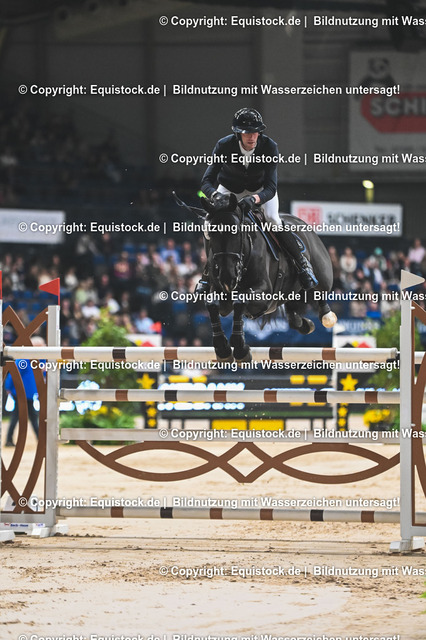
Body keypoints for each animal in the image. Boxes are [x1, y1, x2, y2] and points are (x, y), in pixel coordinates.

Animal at [175, 191, 337, 362]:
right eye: (210, 234)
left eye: (236, 232)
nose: (227, 279)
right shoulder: (222, 297)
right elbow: (213, 304)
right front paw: (223, 350)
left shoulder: (264, 294)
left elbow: (240, 301)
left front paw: (240, 349)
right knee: (293, 312)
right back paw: (304, 324)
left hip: (322, 276)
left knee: (320, 291)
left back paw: (325, 313)